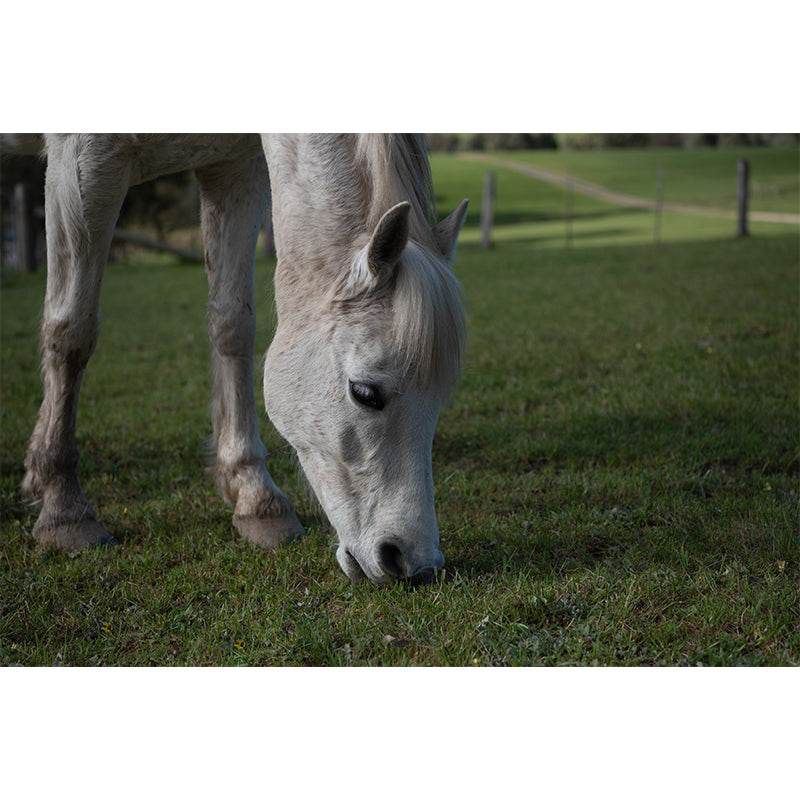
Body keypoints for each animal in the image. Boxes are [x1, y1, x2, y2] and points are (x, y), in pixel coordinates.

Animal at [19, 134, 468, 586]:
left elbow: (232, 324)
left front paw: (255, 495)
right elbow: (72, 330)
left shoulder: (233, 169)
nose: (415, 564)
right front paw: (63, 507)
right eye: (365, 393)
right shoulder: (82, 163)